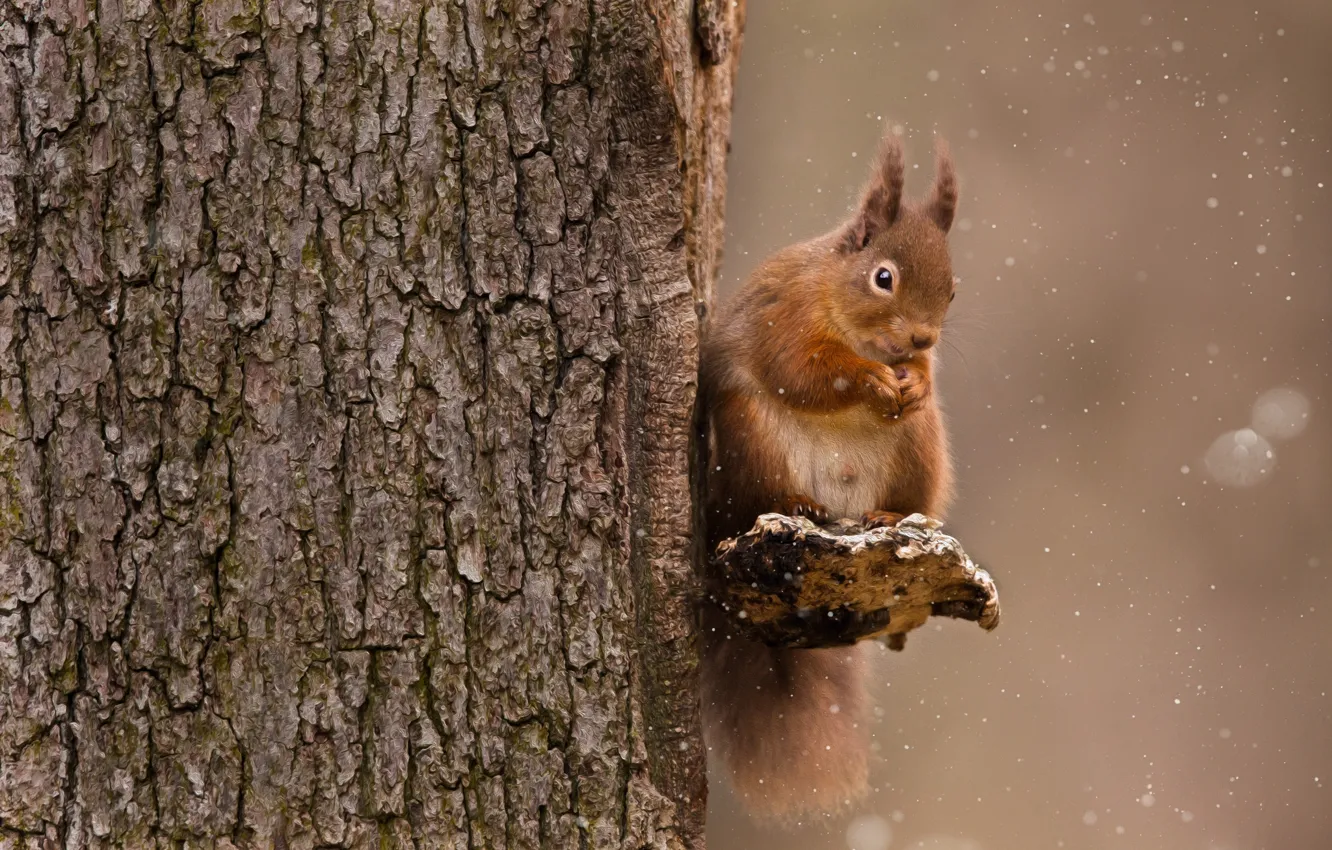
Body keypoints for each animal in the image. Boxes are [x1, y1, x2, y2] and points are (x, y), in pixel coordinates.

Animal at [697, 127, 959, 826]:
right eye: (883, 278)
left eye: (954, 289)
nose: (922, 338)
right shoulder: (785, 320)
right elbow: (808, 370)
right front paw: (869, 381)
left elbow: (920, 380)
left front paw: (917, 382)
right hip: (752, 438)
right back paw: (798, 506)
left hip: (919, 452)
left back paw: (891, 515)